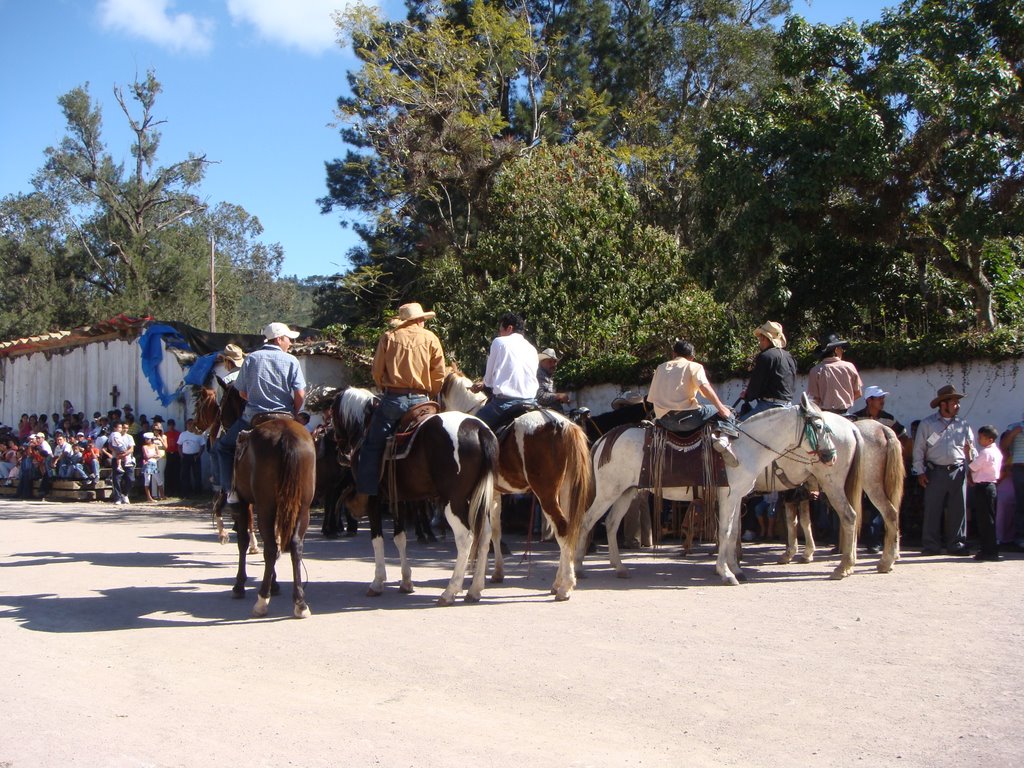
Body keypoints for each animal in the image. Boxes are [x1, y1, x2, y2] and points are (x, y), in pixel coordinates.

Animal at [228, 415, 315, 618]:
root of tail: (286, 435)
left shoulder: (243, 503)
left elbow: (243, 541)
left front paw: (239, 585)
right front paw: (275, 585)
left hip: (265, 507)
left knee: (269, 548)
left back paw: (262, 601)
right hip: (302, 508)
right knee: (295, 546)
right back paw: (300, 603)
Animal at [331, 387, 495, 606]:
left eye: (332, 416)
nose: (341, 454)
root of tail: (478, 429)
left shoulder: (374, 498)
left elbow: (377, 539)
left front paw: (377, 582)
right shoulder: (399, 498)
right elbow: (400, 538)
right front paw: (406, 581)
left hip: (453, 501)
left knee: (465, 538)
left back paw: (449, 592)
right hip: (477, 499)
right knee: (484, 535)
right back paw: (474, 590)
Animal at [438, 372, 598, 602]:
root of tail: (562, 425)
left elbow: (483, 534)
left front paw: (474, 583)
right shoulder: (495, 495)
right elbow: (495, 532)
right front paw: (495, 573)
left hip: (546, 493)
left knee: (562, 528)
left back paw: (565, 588)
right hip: (566, 491)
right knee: (569, 530)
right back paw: (559, 583)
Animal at [577, 393, 864, 585]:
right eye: (818, 426)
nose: (830, 455)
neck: (744, 445)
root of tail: (604, 440)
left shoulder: (735, 497)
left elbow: (732, 531)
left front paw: (733, 568)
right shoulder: (728, 496)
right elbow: (726, 531)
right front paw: (726, 572)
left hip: (624, 492)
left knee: (610, 524)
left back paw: (618, 567)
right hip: (609, 493)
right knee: (588, 522)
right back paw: (577, 567)